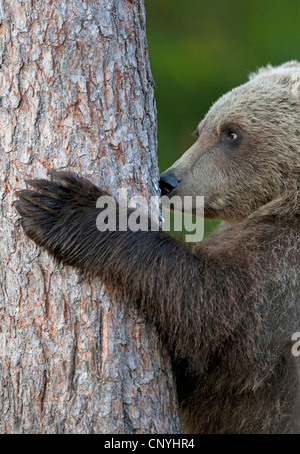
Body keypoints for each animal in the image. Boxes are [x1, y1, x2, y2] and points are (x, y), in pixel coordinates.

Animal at [15, 62, 300, 434]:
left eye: (232, 133)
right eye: (200, 130)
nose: (168, 181)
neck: (284, 204)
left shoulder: (282, 274)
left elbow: (216, 310)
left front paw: (62, 203)